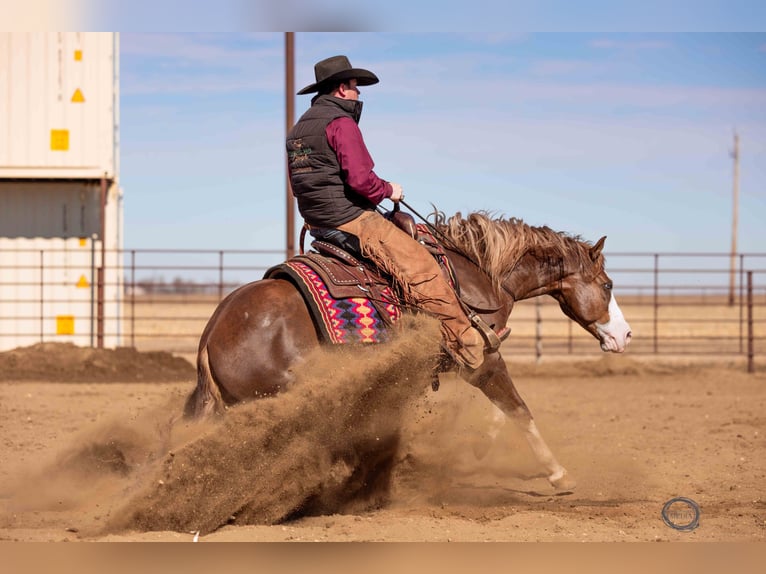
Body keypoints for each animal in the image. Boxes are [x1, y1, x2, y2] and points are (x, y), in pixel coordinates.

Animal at [185, 211, 632, 493]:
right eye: (608, 284)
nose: (625, 336)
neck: (478, 274)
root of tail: (211, 334)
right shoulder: (481, 357)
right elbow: (518, 409)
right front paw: (558, 474)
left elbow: (501, 412)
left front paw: (477, 452)